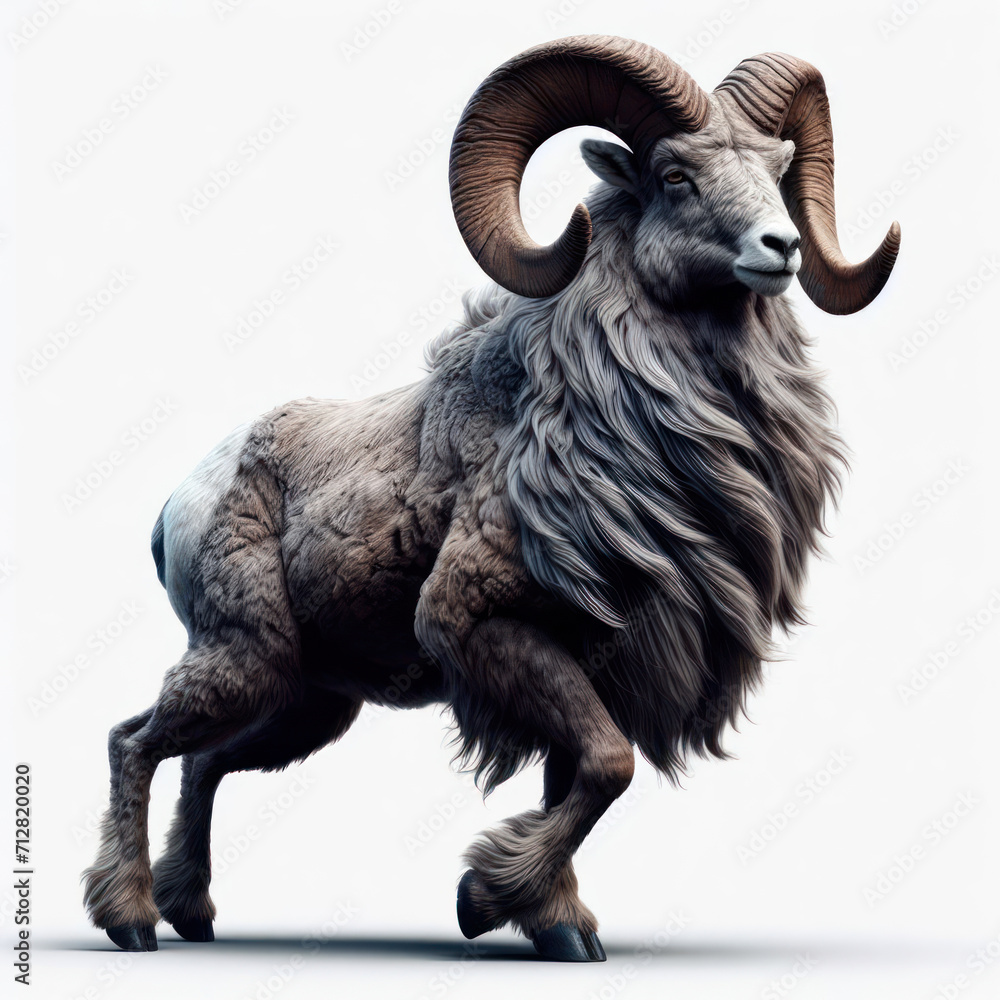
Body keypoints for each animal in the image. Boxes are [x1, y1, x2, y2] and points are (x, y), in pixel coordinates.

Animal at [82, 35, 899, 961]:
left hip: (306, 704)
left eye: (777, 166)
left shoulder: (587, 669)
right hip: (241, 664)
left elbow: (579, 777)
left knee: (203, 763)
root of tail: (179, 504)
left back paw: (193, 913)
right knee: (135, 743)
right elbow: (608, 767)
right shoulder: (486, 631)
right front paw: (484, 902)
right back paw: (132, 920)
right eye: (674, 175)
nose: (782, 246)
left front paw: (558, 928)